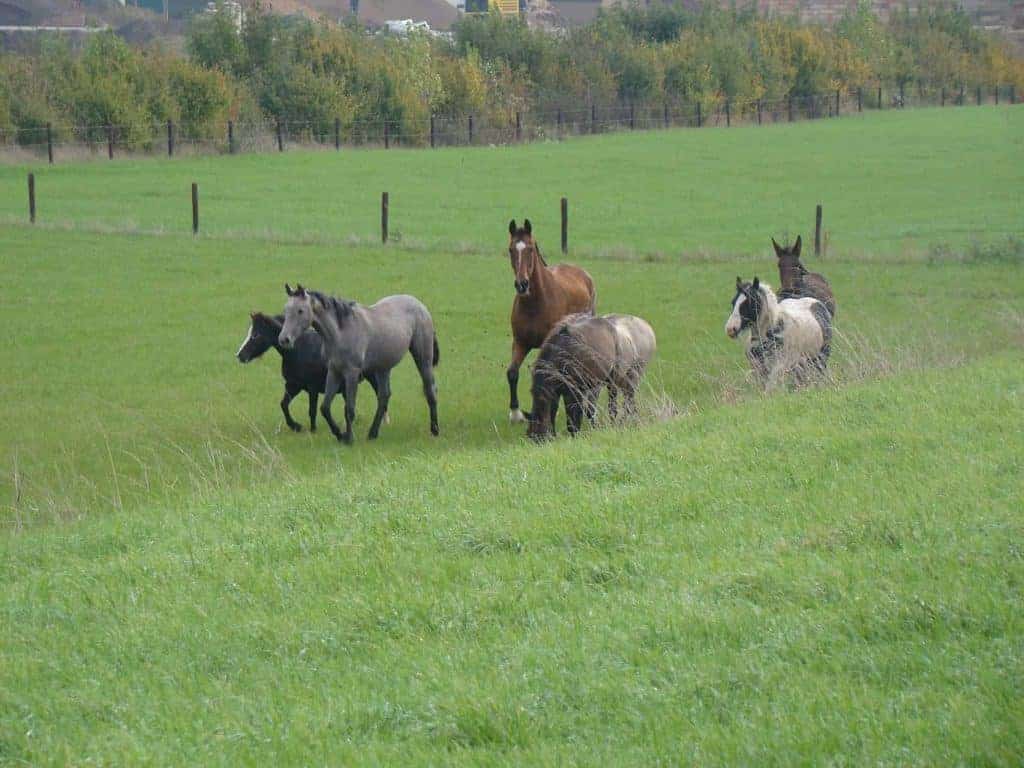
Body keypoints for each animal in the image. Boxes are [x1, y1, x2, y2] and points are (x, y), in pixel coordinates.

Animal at [278, 285, 439, 443]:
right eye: (286, 310)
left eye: (300, 310)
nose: (284, 339)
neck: (341, 332)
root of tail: (420, 305)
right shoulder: (334, 371)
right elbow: (325, 407)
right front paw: (339, 434)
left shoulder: (351, 373)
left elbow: (349, 409)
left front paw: (349, 438)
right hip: (383, 368)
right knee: (384, 396)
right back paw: (372, 433)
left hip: (423, 359)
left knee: (430, 390)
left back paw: (435, 430)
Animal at [506, 218, 596, 424]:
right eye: (511, 249)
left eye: (530, 248)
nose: (522, 284)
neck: (535, 303)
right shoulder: (520, 342)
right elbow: (512, 372)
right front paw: (515, 413)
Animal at [527, 313, 656, 441]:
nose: (536, 439)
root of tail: (646, 326)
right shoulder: (559, 392)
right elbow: (556, 412)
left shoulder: (575, 391)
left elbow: (576, 415)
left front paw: (577, 435)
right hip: (614, 382)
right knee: (619, 404)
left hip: (628, 376)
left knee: (623, 402)